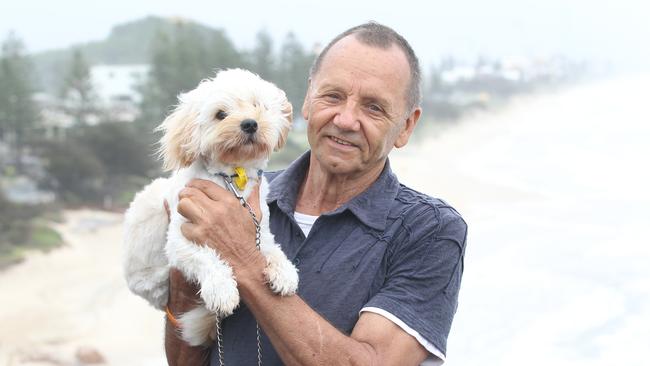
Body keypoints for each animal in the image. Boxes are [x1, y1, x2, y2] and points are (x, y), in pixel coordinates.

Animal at [121, 68, 298, 346]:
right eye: (220, 114)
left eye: (258, 105)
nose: (250, 123)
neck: (232, 177)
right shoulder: (180, 241)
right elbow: (207, 258)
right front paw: (222, 290)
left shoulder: (260, 231)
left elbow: (272, 251)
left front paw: (285, 272)